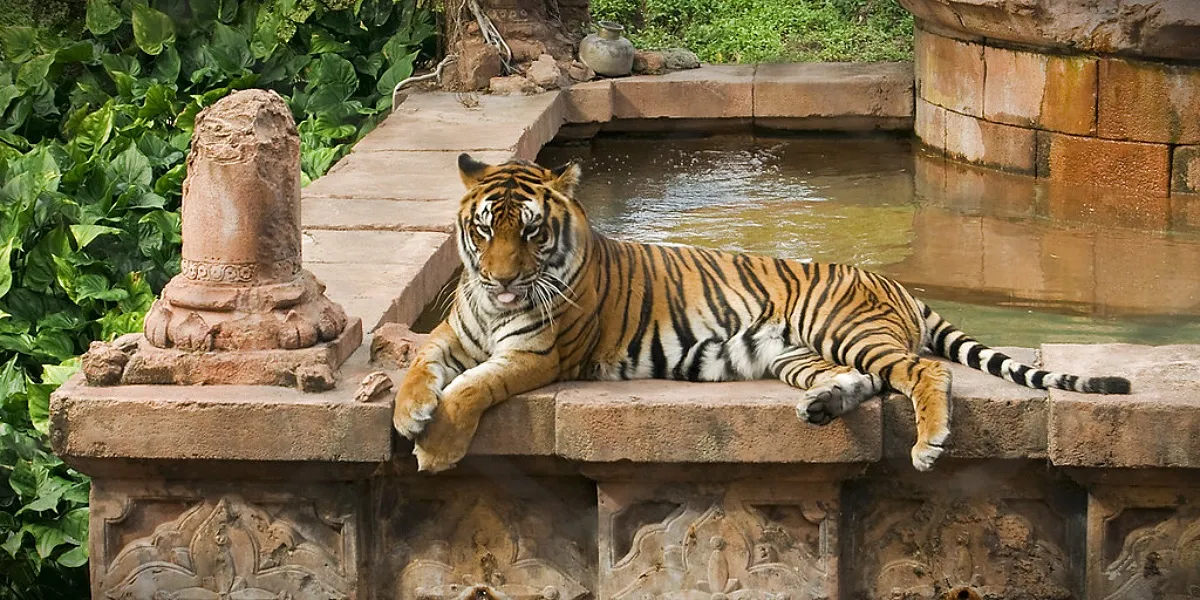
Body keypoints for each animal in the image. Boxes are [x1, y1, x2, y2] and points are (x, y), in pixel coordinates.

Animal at [393, 153, 1132, 474]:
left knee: (923, 372)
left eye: (531, 232)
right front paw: (406, 413)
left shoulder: (536, 355)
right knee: (863, 381)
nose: (501, 279)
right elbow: (423, 363)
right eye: (485, 230)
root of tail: (893, 281)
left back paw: (928, 445)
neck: (492, 308)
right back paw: (822, 409)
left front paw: (434, 447)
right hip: (791, 352)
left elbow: (473, 389)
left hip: (844, 328)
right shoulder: (451, 333)